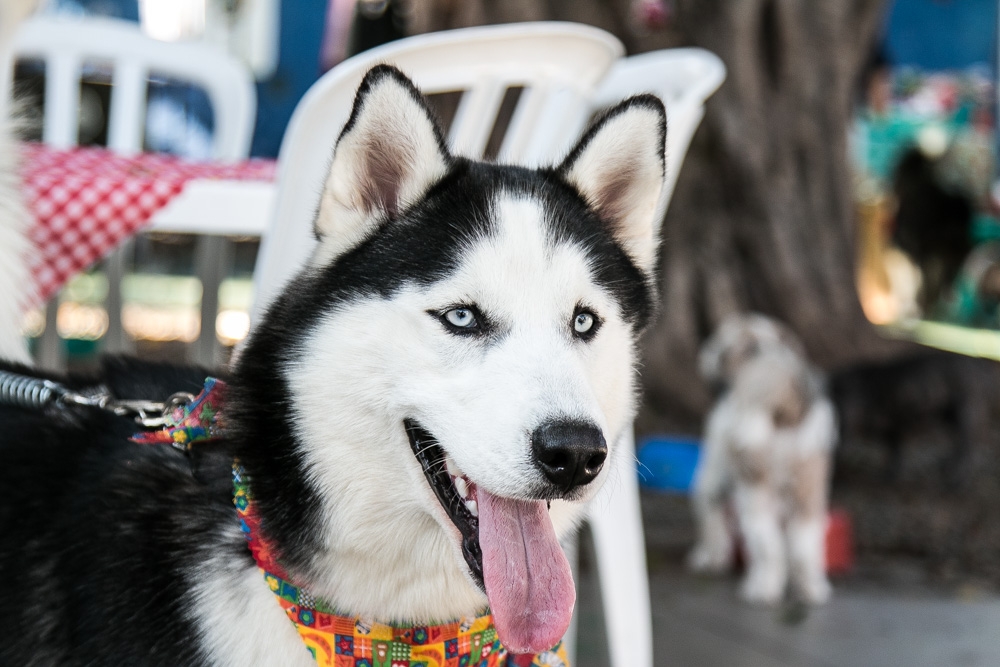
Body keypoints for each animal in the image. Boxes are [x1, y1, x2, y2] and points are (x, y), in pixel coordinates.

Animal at [688, 314, 836, 604]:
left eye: (718, 345)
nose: (704, 355)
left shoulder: (715, 473)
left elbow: (711, 516)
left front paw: (710, 557)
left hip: (753, 490)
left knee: (766, 544)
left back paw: (763, 588)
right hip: (809, 492)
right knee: (804, 545)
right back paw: (810, 589)